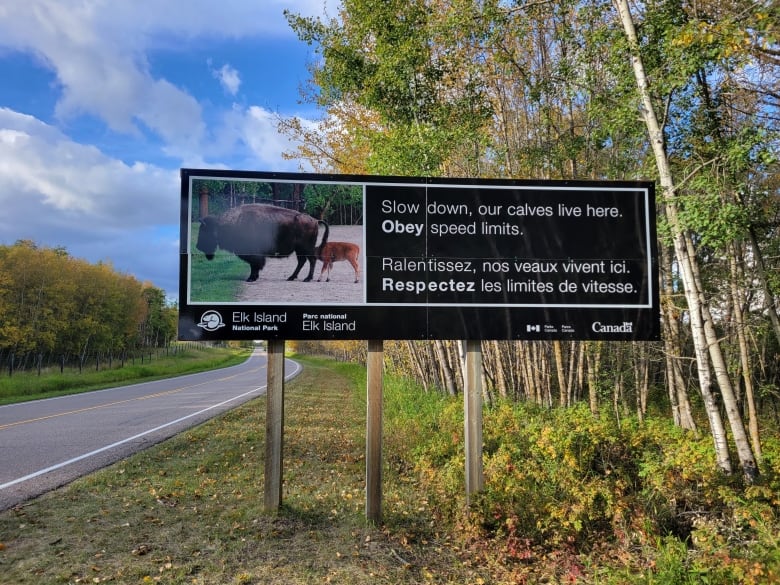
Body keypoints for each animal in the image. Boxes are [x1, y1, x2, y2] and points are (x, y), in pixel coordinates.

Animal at [198, 204, 330, 282]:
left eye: (205, 230)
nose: (198, 246)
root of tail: (315, 220)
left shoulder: (254, 254)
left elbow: (255, 265)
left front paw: (251, 278)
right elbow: (254, 265)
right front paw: (253, 277)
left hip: (305, 248)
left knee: (311, 260)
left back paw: (307, 278)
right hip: (300, 250)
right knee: (302, 261)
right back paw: (291, 277)